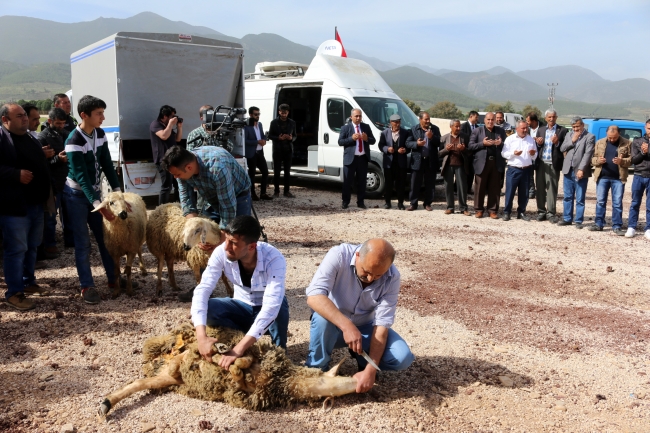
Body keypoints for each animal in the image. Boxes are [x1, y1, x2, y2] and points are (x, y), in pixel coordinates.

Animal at [98, 322, 356, 414]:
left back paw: (106, 403)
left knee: (141, 382)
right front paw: (234, 364)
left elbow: (238, 374)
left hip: (168, 377)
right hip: (188, 344)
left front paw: (235, 369)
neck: (283, 381)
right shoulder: (253, 358)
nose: (363, 382)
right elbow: (241, 364)